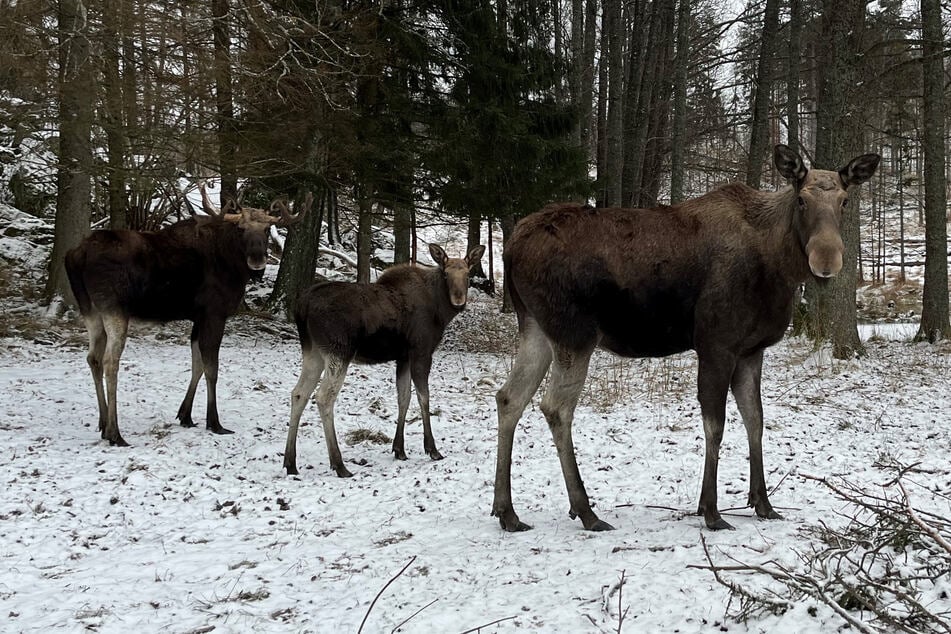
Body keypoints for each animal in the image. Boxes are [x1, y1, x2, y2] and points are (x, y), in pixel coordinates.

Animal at [67, 185, 312, 446]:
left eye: (267, 229)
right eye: (241, 228)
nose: (257, 259)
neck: (233, 266)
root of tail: (77, 255)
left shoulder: (198, 317)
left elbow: (197, 364)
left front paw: (186, 415)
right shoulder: (215, 313)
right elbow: (212, 368)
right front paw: (214, 422)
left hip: (90, 310)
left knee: (93, 358)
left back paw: (103, 424)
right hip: (114, 308)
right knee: (110, 361)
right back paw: (115, 433)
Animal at [284, 242, 488, 474]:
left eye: (468, 273)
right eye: (446, 273)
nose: (459, 300)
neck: (441, 312)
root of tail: (301, 307)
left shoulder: (403, 357)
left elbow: (403, 398)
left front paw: (399, 449)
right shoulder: (421, 351)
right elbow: (424, 397)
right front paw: (432, 449)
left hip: (313, 352)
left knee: (299, 393)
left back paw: (291, 462)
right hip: (339, 351)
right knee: (324, 397)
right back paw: (339, 464)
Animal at [494, 143, 880, 528]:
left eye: (845, 200)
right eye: (801, 199)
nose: (827, 260)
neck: (778, 266)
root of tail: (510, 248)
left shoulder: (751, 350)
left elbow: (755, 421)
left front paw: (763, 503)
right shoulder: (716, 343)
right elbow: (715, 425)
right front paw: (710, 510)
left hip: (536, 329)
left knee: (509, 398)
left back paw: (507, 511)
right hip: (574, 335)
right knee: (556, 407)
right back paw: (585, 510)